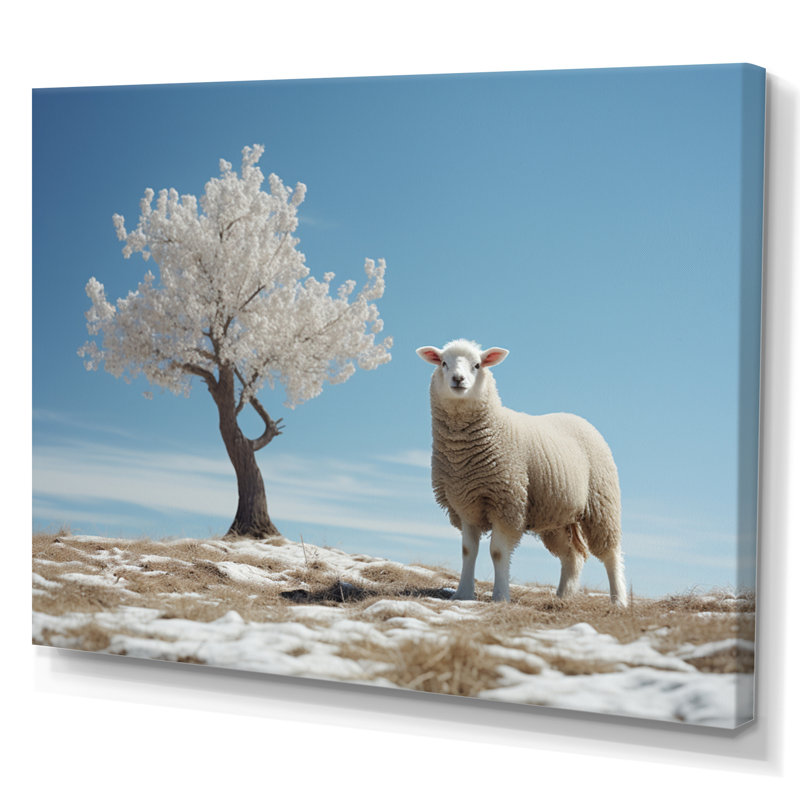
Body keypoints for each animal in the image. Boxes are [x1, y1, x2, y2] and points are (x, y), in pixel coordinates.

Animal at [416, 339, 627, 605]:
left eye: (477, 365)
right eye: (444, 363)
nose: (458, 379)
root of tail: (578, 418)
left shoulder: (507, 501)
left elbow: (497, 552)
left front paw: (500, 596)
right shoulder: (465, 503)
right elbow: (468, 551)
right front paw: (462, 594)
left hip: (601, 503)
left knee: (611, 553)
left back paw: (618, 600)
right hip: (554, 516)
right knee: (572, 556)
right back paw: (562, 597)